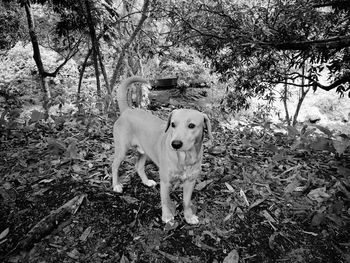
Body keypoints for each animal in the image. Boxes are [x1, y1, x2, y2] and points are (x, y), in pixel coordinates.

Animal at [111, 76, 213, 225]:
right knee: (114, 166)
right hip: (122, 149)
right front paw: (167, 216)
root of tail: (127, 110)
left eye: (191, 125)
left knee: (138, 166)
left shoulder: (190, 182)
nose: (175, 144)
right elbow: (165, 200)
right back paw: (116, 185)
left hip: (144, 152)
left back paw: (146, 181)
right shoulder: (165, 182)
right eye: (173, 124)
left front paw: (188, 216)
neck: (184, 158)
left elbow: (186, 202)